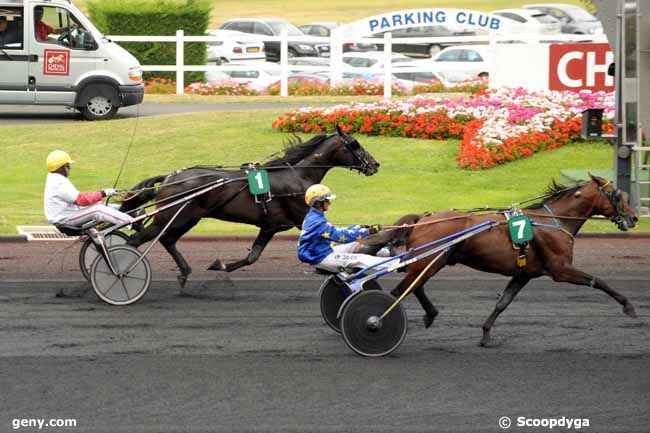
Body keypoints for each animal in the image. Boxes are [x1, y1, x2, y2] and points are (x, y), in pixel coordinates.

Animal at [119, 124, 378, 286]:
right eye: (355, 144)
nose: (375, 164)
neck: (297, 176)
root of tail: (170, 178)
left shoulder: (271, 226)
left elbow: (253, 256)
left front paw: (220, 265)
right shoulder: (300, 219)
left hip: (187, 219)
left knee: (167, 240)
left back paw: (184, 273)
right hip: (173, 217)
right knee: (137, 240)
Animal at [364, 174, 636, 346]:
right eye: (616, 194)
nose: (633, 218)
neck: (554, 221)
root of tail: (421, 219)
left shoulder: (523, 274)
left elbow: (502, 303)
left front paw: (485, 334)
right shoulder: (560, 269)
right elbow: (598, 280)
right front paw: (628, 306)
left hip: (430, 262)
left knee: (415, 286)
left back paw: (430, 314)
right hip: (431, 260)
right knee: (401, 290)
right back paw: (381, 321)